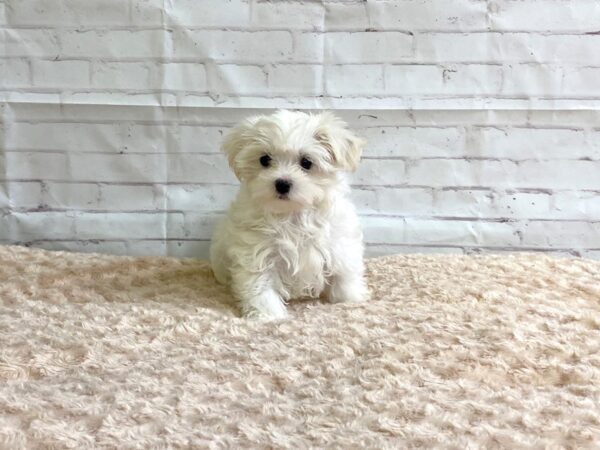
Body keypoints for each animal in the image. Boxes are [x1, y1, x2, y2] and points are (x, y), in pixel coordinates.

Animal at [211, 110, 370, 318]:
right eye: (264, 159)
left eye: (306, 162)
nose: (282, 183)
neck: (292, 214)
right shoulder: (256, 253)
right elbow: (260, 285)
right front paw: (269, 315)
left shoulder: (339, 244)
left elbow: (344, 275)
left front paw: (350, 301)